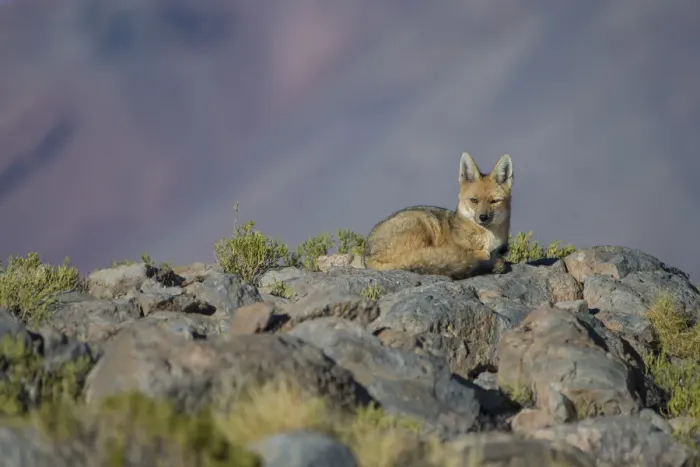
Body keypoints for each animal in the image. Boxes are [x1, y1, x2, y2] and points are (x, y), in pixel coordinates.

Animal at [363, 152, 514, 280]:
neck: (490, 238)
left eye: (494, 201)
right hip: (423, 224)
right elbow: (483, 254)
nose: (483, 217)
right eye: (474, 200)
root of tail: (367, 257)